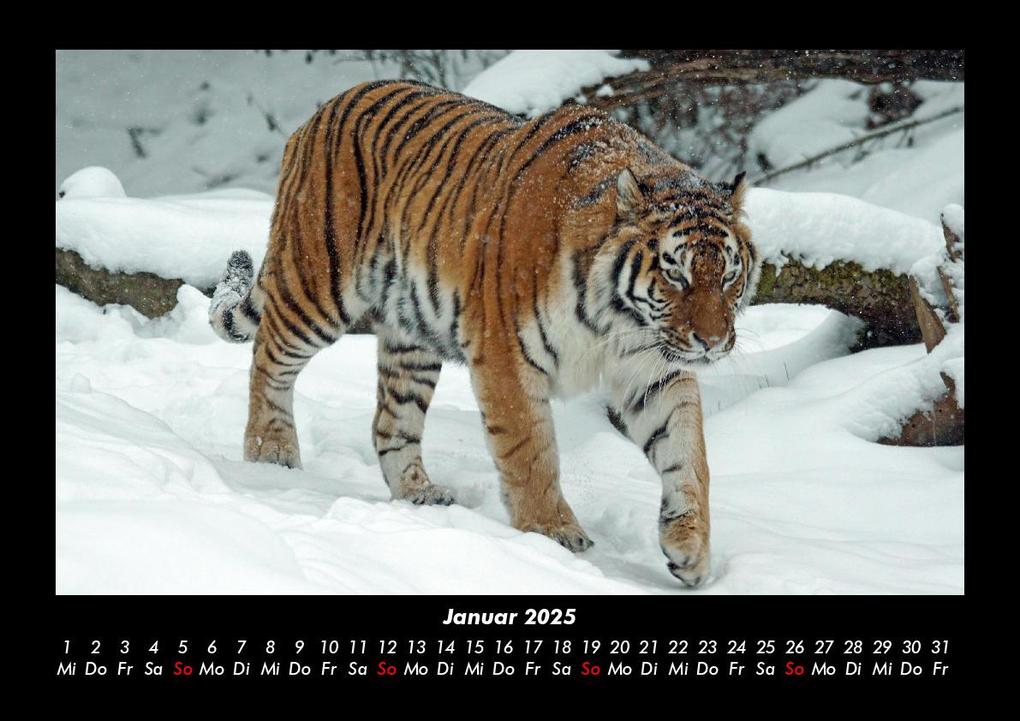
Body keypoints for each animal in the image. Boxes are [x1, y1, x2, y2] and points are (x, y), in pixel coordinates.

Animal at [209, 79, 759, 587]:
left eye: (729, 275)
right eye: (675, 274)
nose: (712, 342)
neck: (618, 320)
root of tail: (322, 110)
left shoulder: (653, 369)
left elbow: (688, 454)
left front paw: (690, 548)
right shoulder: (506, 356)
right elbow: (531, 452)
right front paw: (552, 534)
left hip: (411, 336)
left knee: (390, 421)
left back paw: (419, 495)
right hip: (318, 283)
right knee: (268, 359)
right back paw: (269, 454)